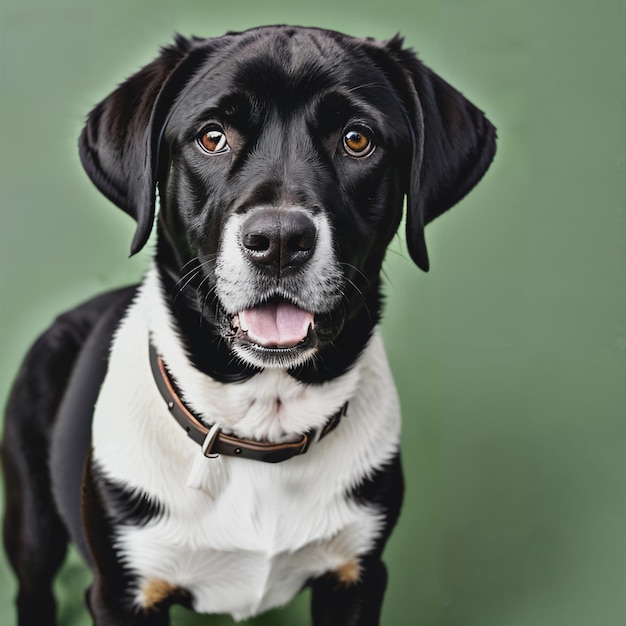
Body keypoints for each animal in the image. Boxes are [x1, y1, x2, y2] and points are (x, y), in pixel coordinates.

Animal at [2, 25, 494, 624]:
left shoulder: (356, 577)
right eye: (212, 137)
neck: (261, 423)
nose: (279, 240)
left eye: (357, 140)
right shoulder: (122, 592)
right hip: (31, 522)